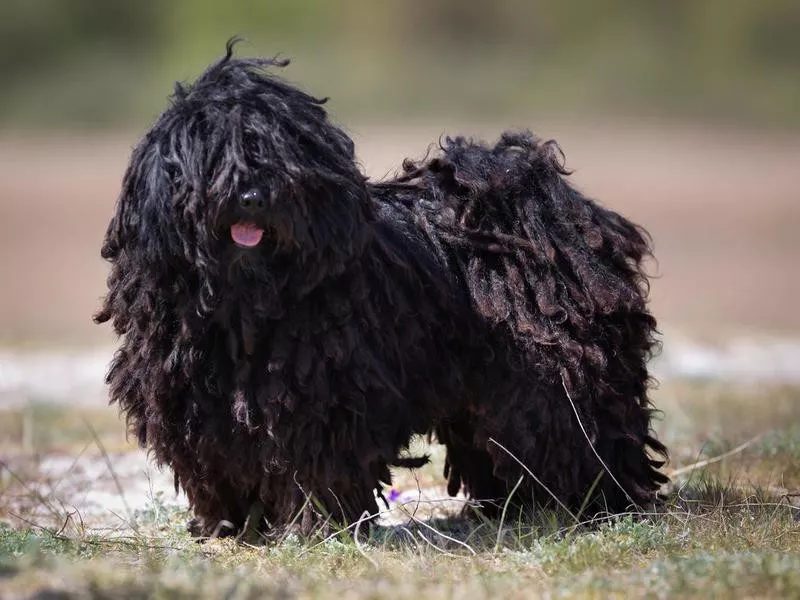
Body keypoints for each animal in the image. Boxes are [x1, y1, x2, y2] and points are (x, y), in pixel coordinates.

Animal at [94, 42, 668, 540]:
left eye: (278, 154)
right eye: (211, 153)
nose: (252, 196)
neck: (246, 310)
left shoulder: (322, 400)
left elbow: (313, 467)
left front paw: (312, 529)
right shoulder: (195, 404)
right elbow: (215, 465)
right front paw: (226, 525)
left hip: (557, 376)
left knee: (583, 433)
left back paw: (598, 503)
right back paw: (512, 506)